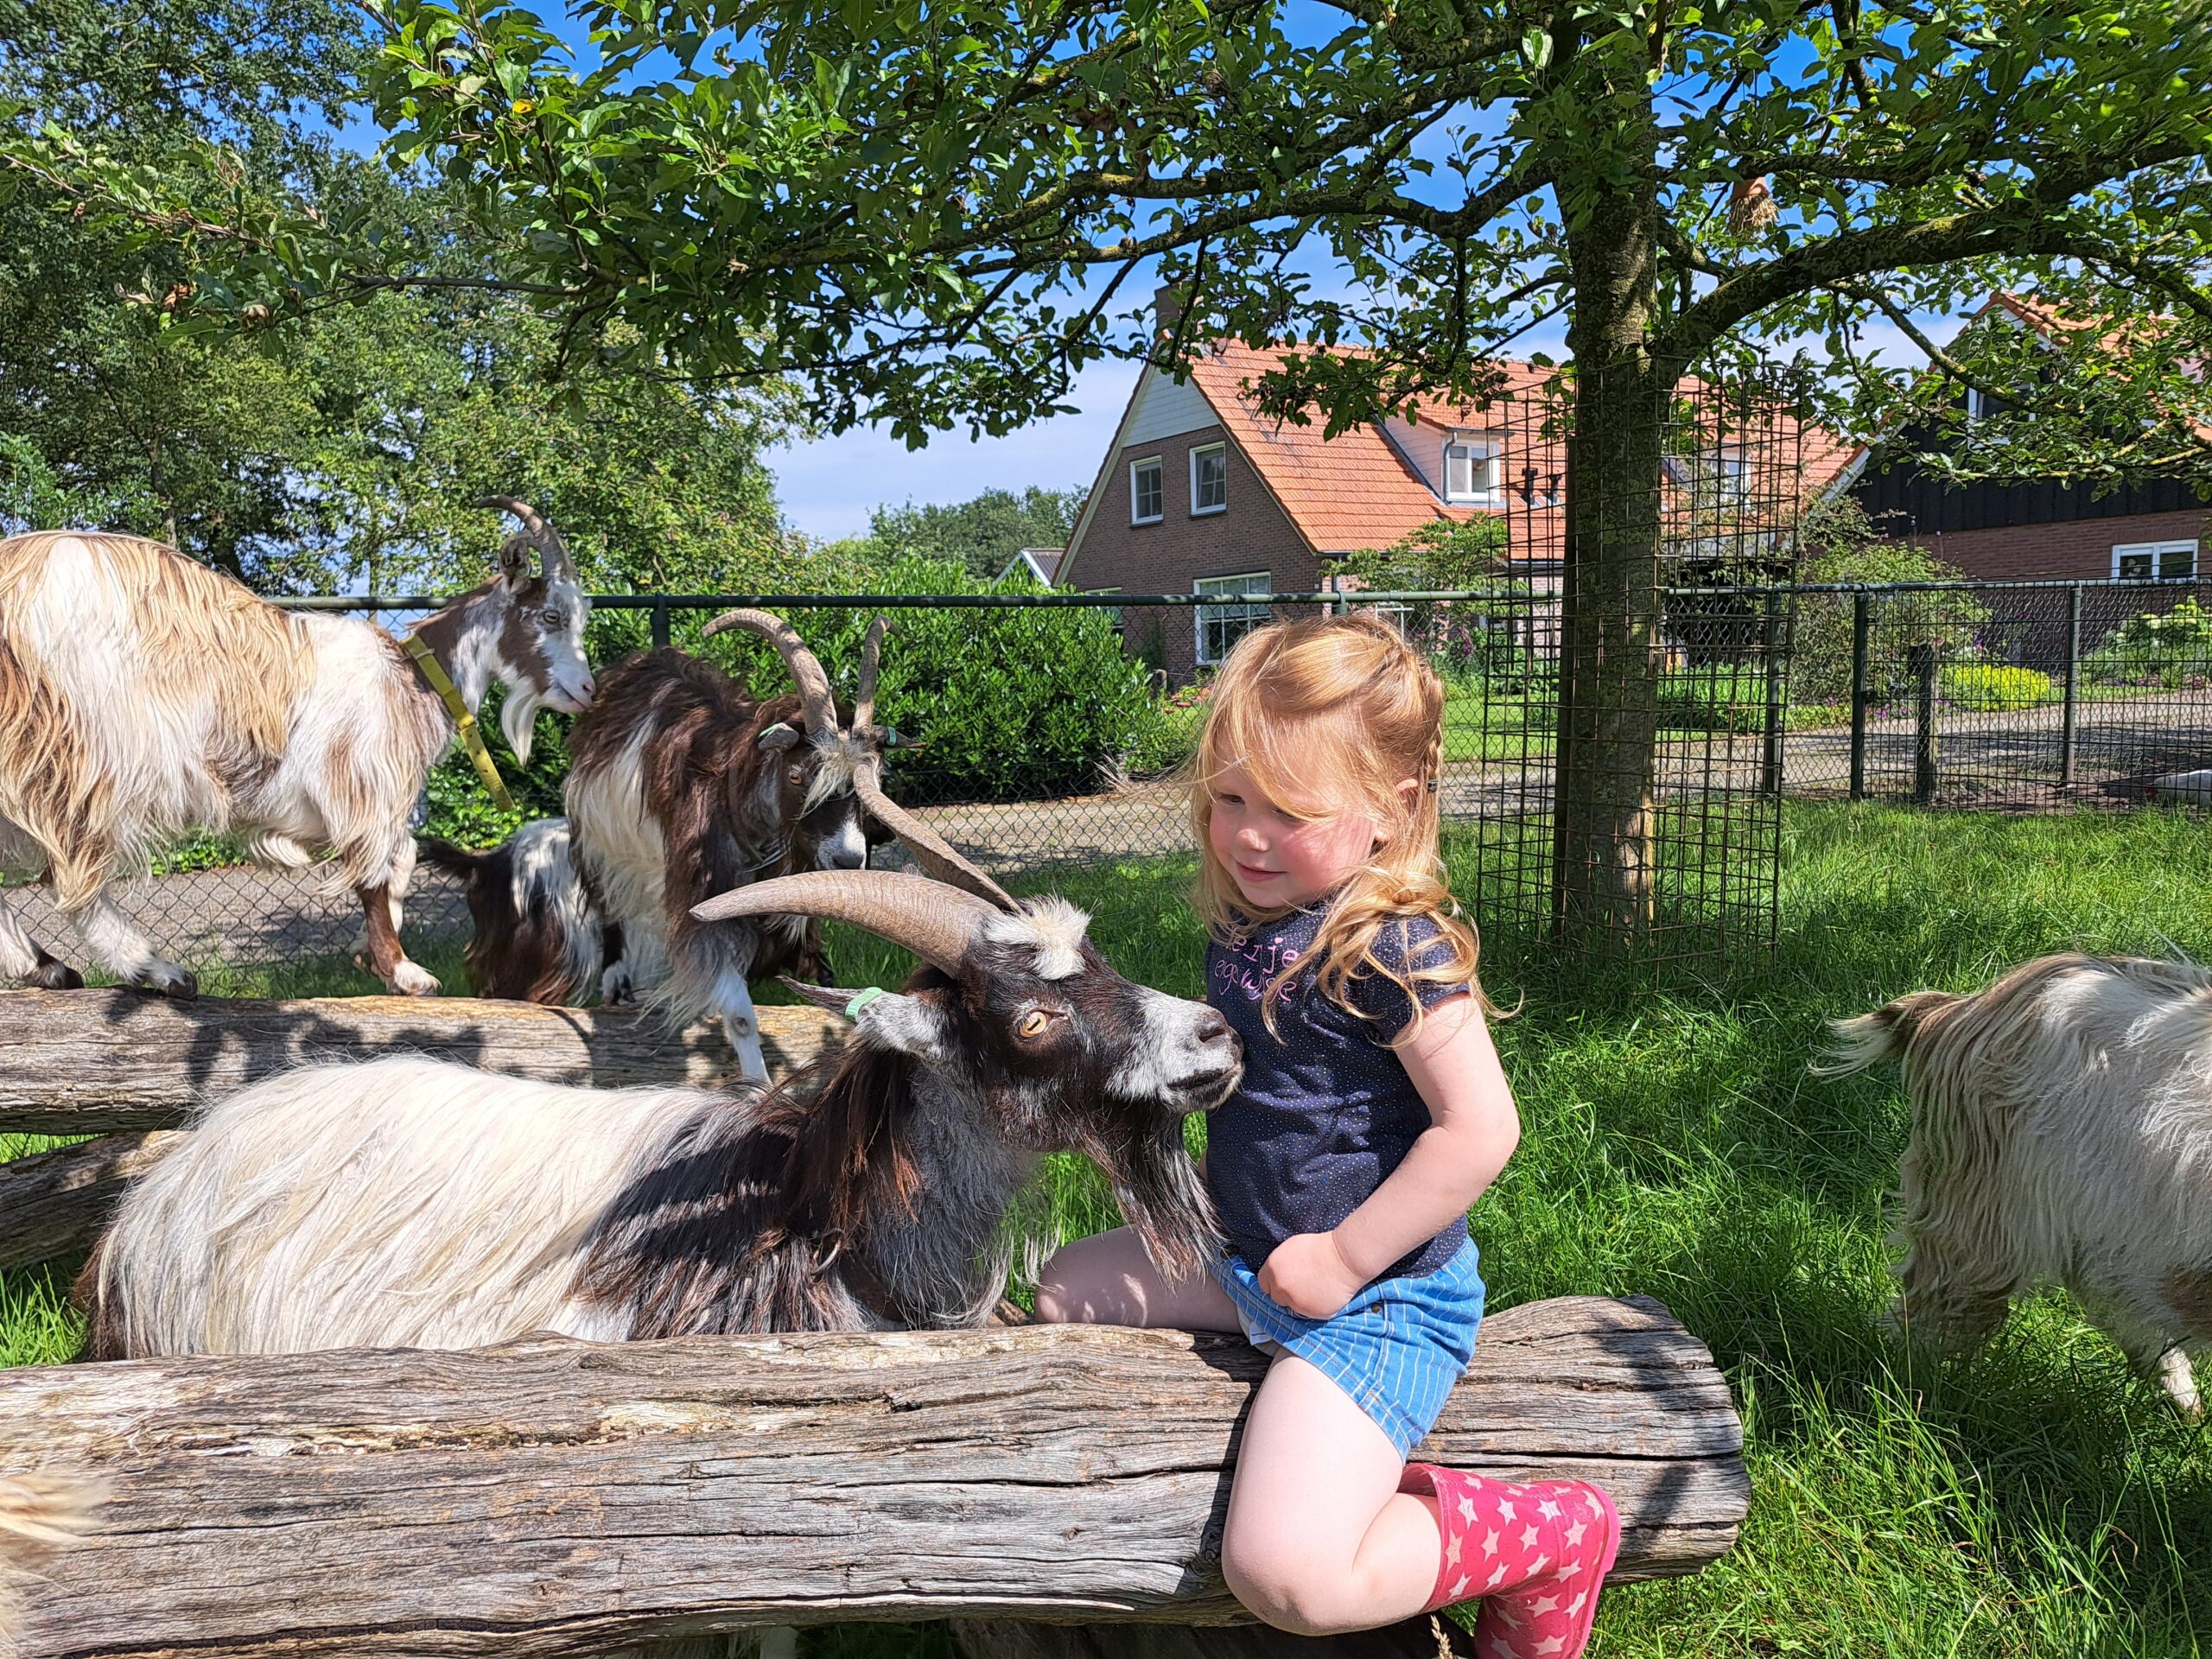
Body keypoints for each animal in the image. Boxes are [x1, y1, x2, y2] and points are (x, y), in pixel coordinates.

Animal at [0, 499, 597, 1000]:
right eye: (550, 616)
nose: (587, 690)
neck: (412, 678)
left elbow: (401, 858)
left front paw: (365, 954)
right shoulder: (363, 783)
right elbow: (377, 870)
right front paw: (403, 971)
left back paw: (46, 967)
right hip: (86, 751)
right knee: (71, 874)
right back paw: (158, 970)